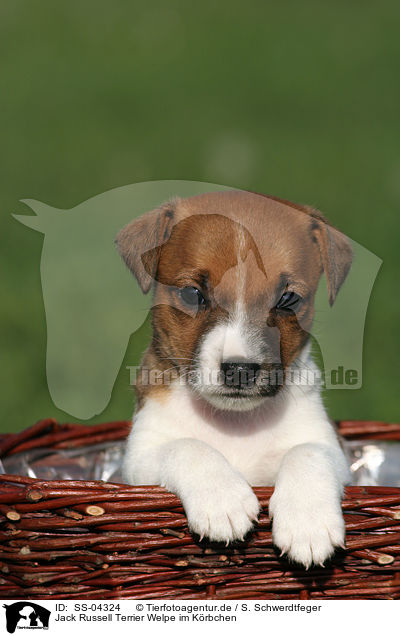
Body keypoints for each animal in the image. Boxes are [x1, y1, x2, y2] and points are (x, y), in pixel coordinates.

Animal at [116, 189, 354, 568]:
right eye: (192, 294)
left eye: (288, 299)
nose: (240, 369)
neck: (234, 424)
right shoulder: (140, 459)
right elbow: (187, 446)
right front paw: (221, 498)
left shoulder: (332, 450)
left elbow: (307, 452)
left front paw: (308, 521)